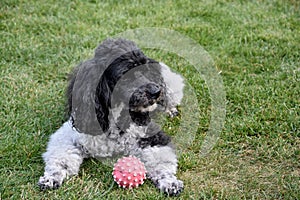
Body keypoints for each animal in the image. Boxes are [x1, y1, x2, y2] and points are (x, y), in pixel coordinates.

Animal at [37, 38, 185, 196]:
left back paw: (170, 110)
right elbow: (61, 158)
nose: (156, 91)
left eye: (146, 70)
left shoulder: (152, 136)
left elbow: (161, 162)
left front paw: (169, 182)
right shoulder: (69, 136)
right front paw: (51, 178)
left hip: (171, 86)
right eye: (126, 73)